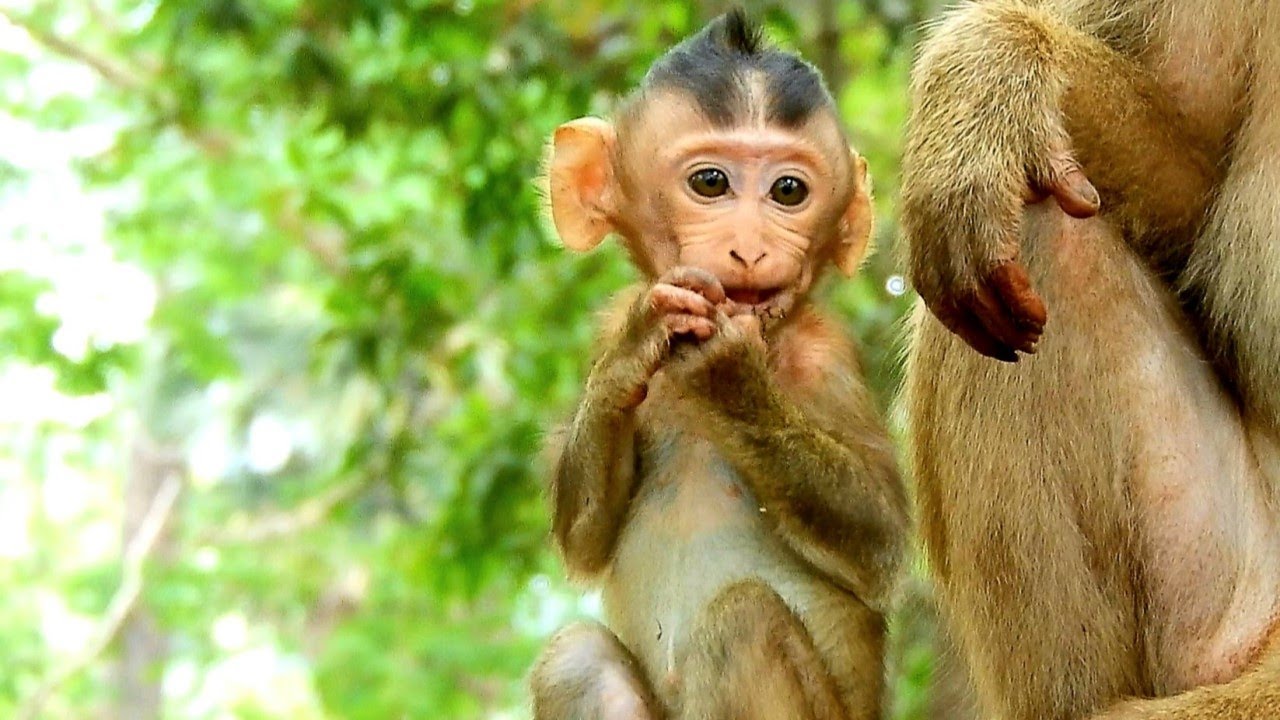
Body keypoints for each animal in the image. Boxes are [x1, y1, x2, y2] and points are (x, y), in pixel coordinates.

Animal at [526, 11, 908, 720]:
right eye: (711, 182)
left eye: (789, 191)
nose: (750, 249)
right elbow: (583, 540)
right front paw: (634, 351)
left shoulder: (825, 355)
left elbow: (880, 545)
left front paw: (729, 373)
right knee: (576, 655)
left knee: (744, 617)